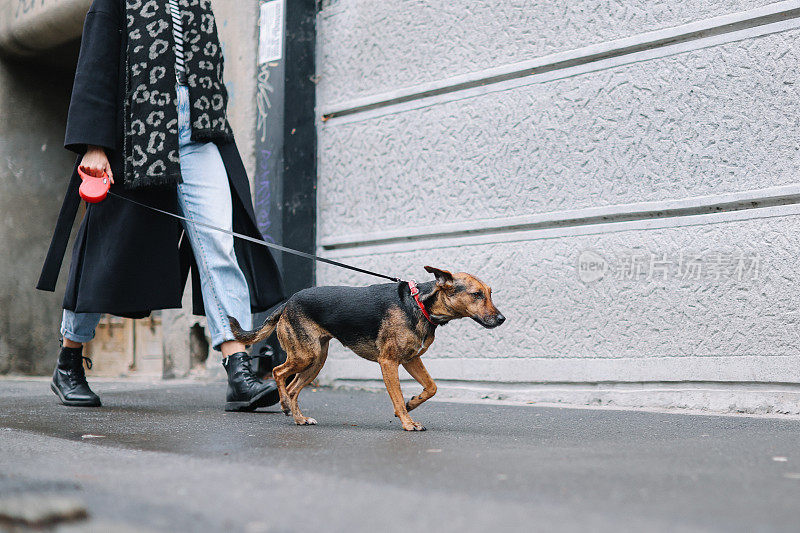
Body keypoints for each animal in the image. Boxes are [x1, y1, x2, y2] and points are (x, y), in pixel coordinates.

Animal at [228, 264, 504, 430]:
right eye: (477, 294)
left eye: (490, 293)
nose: (502, 319)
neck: (419, 305)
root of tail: (287, 303)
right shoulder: (389, 362)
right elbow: (397, 397)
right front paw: (407, 421)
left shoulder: (411, 359)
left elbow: (431, 387)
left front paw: (412, 404)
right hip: (305, 355)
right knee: (278, 373)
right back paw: (285, 405)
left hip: (316, 360)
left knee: (294, 387)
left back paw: (299, 418)